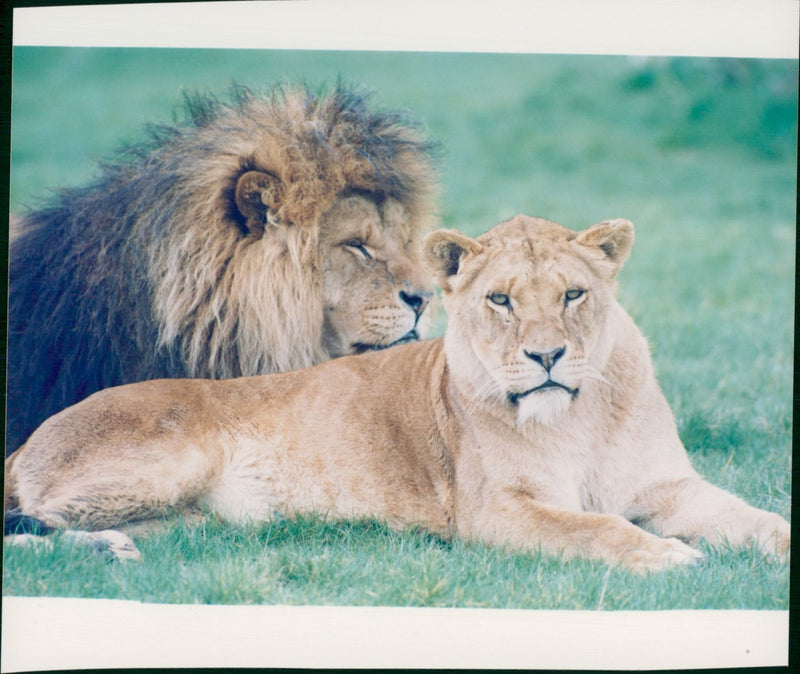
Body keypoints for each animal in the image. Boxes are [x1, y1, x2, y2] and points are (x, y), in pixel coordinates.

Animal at [3, 217, 792, 572]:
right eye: (501, 300)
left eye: (574, 294)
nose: (546, 356)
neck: (581, 416)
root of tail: (33, 435)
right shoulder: (497, 511)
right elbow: (596, 528)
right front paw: (672, 558)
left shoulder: (670, 488)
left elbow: (754, 517)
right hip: (174, 456)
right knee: (29, 523)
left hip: (188, 517)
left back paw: (116, 547)